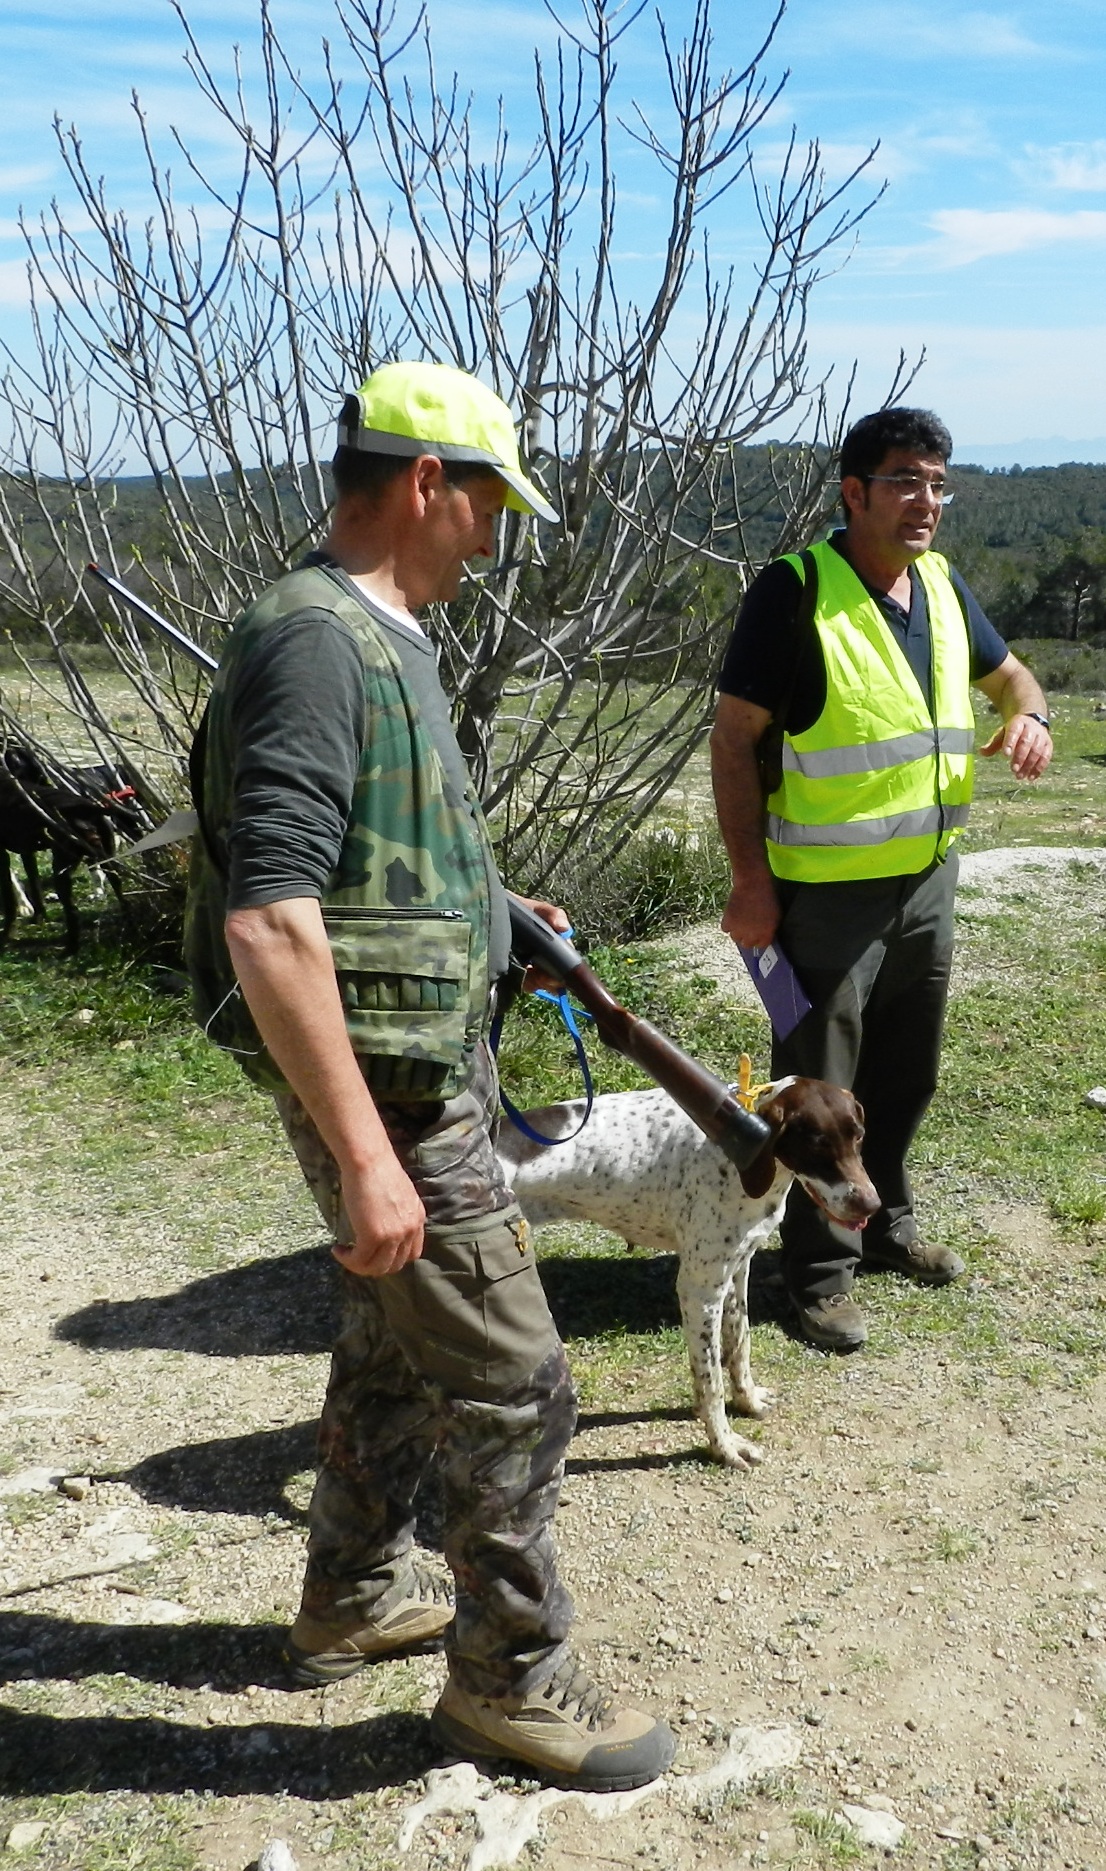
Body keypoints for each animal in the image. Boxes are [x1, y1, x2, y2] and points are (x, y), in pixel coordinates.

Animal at [497, 1077, 879, 1470]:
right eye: (815, 1143)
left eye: (858, 1135)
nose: (871, 1205)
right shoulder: (699, 1290)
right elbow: (711, 1382)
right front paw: (725, 1446)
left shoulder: (736, 1270)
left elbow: (739, 1345)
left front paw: (748, 1400)